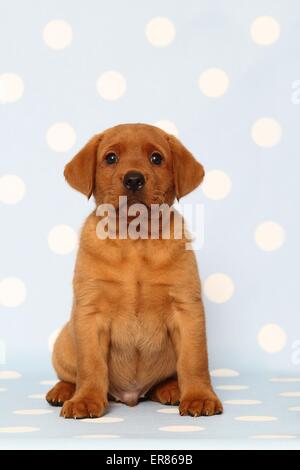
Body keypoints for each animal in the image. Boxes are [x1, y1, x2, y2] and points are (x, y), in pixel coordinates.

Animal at [46, 123, 223, 416]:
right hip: (63, 342)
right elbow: (91, 365)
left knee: (166, 379)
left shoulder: (187, 309)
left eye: (156, 158)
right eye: (110, 158)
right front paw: (86, 399)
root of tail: (131, 396)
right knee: (70, 375)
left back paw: (171, 389)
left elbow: (194, 360)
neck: (134, 238)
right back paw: (63, 391)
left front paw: (198, 396)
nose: (133, 179)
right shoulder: (89, 312)